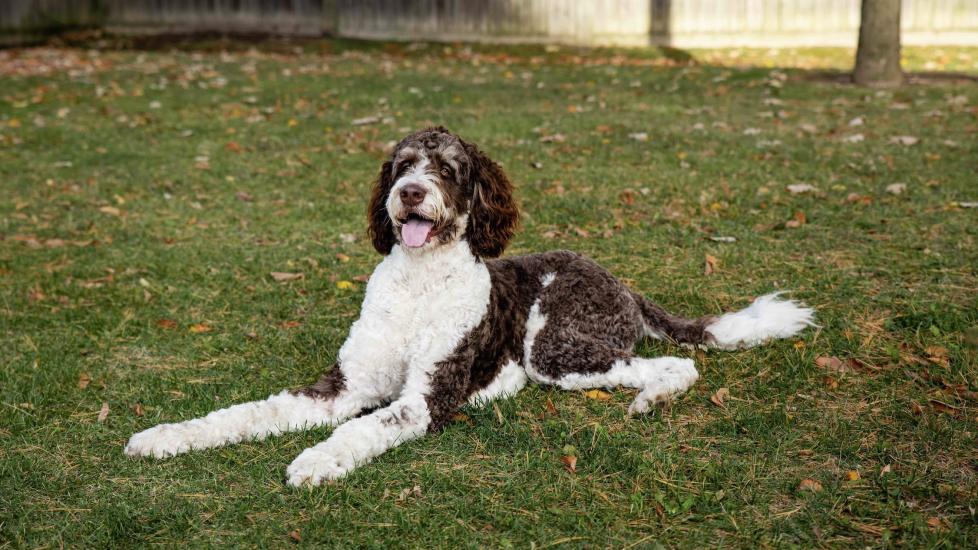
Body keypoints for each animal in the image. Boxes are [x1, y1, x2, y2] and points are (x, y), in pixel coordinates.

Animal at [126, 126, 812, 488]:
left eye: (450, 170)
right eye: (402, 165)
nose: (409, 193)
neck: (417, 285)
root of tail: (618, 280)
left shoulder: (425, 397)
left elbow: (362, 428)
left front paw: (317, 459)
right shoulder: (342, 387)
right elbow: (247, 413)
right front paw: (168, 436)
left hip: (555, 350)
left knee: (671, 365)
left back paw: (650, 398)